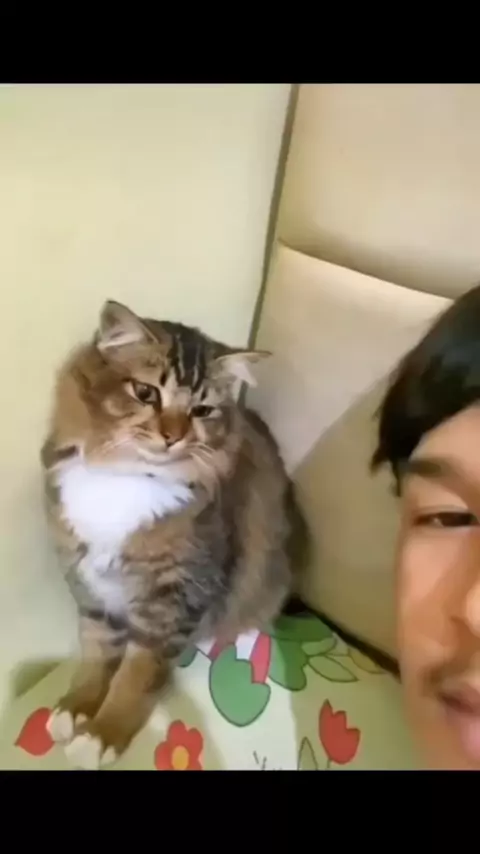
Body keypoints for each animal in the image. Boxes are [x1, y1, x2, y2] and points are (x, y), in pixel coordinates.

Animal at [41, 300, 300, 770]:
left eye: (201, 411)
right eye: (146, 393)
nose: (172, 437)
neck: (123, 477)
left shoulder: (175, 600)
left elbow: (135, 675)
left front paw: (103, 734)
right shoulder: (90, 586)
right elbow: (97, 655)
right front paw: (77, 707)